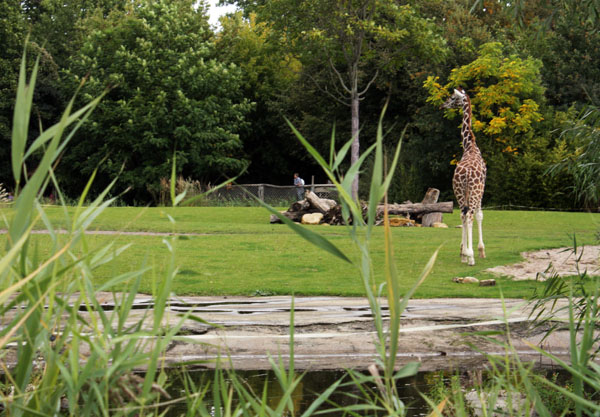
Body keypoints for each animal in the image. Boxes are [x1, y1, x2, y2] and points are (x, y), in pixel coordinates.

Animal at [440, 87, 488, 266]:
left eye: (453, 98)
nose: (443, 105)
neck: (470, 146)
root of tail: (466, 174)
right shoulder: (481, 189)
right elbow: (480, 215)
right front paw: (480, 251)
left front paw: (463, 252)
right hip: (473, 192)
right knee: (469, 216)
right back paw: (471, 257)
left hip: (459, 191)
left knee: (463, 215)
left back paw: (465, 254)